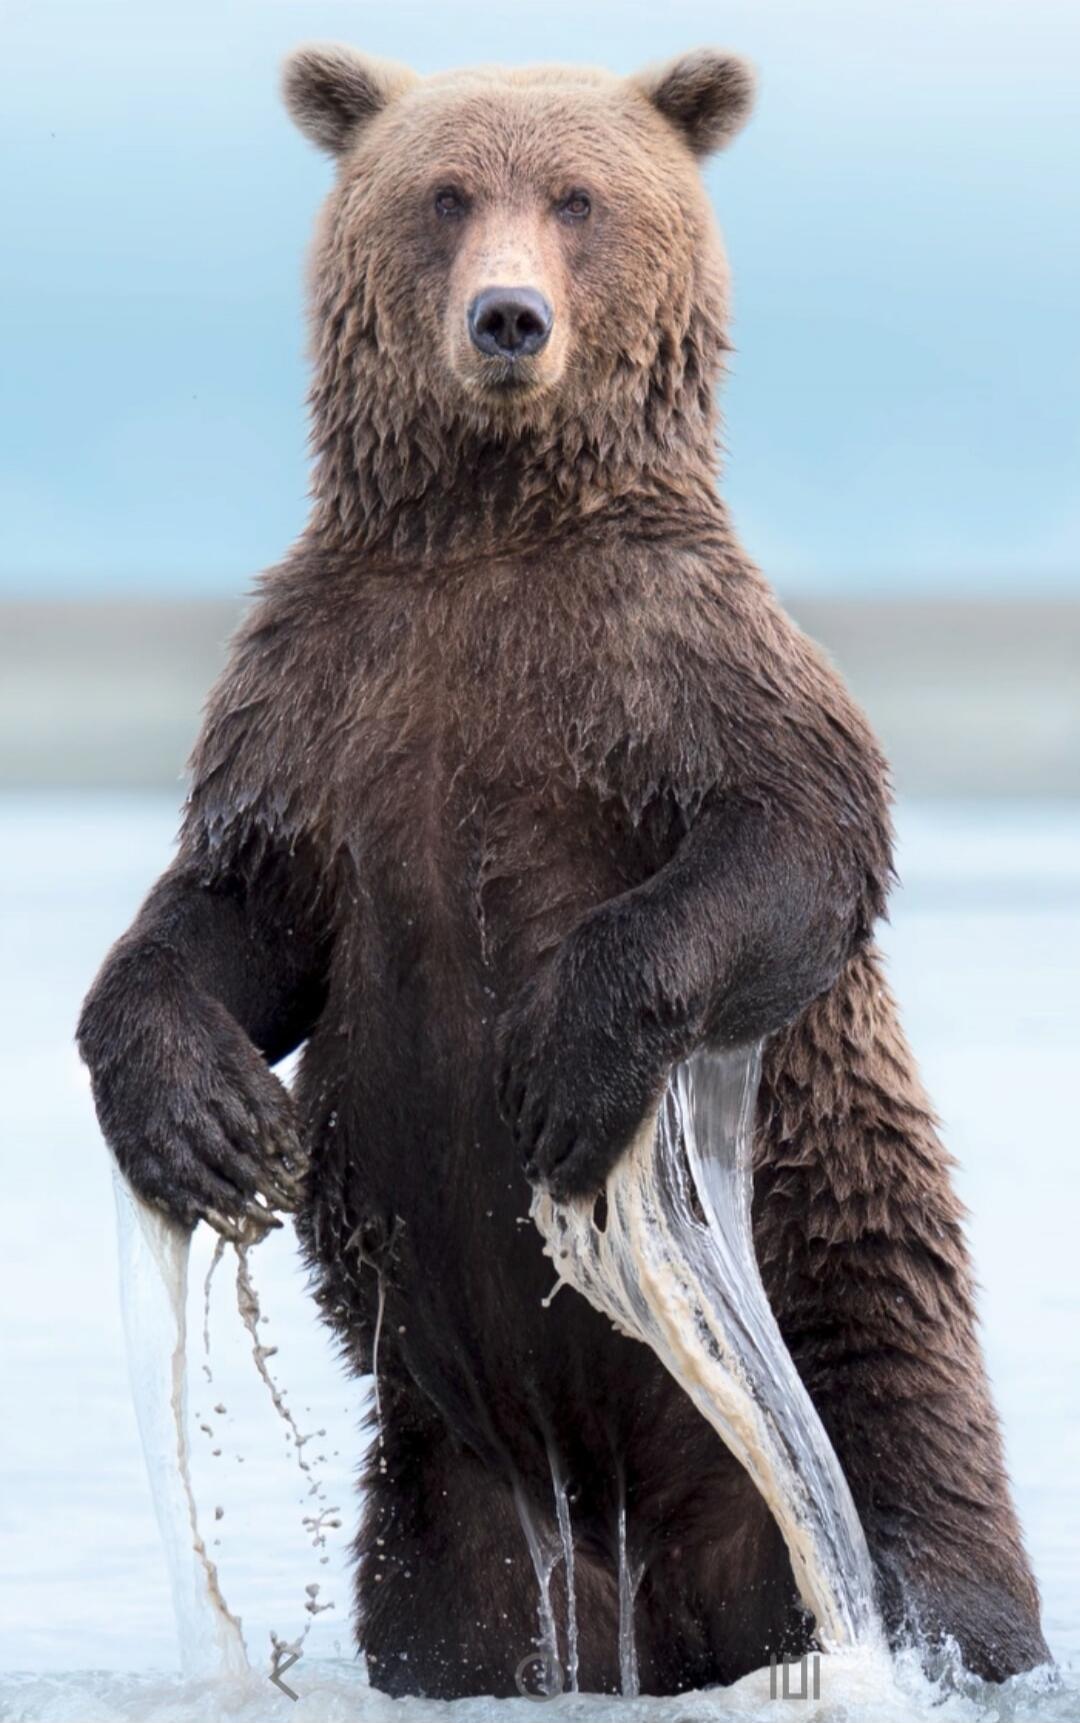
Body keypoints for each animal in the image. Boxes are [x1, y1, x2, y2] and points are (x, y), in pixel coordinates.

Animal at [77, 45, 1048, 1698]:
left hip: (857, 1360)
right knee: (440, 1605)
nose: (508, 319)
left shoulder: (669, 654)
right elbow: (229, 911)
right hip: (447, 1497)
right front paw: (205, 1126)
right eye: (446, 192)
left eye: (580, 197)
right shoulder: (317, 698)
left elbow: (796, 832)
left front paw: (561, 1065)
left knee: (926, 1529)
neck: (485, 530)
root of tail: (657, 1584)